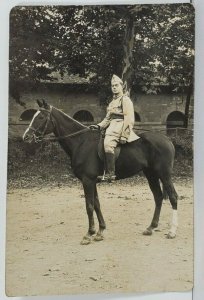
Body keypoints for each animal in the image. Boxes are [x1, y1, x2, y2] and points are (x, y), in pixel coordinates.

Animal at [23, 99, 178, 245]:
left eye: (41, 117)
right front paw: (100, 231)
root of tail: (167, 140)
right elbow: (97, 204)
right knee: (158, 197)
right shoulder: (92, 181)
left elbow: (89, 206)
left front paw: (89, 234)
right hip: (151, 175)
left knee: (173, 197)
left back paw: (172, 232)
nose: (26, 137)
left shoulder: (87, 181)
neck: (81, 141)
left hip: (164, 175)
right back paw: (151, 227)